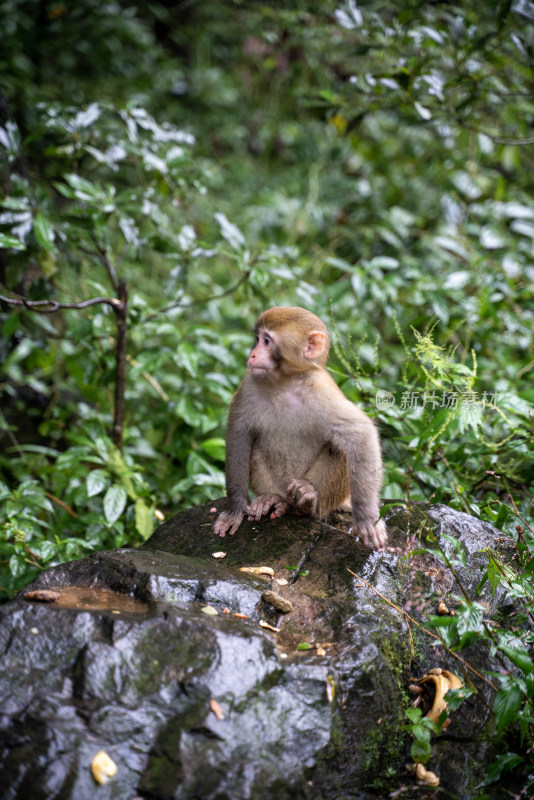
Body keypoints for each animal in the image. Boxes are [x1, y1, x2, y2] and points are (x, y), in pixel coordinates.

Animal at [215, 304, 390, 552]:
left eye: (266, 341)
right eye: (257, 339)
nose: (252, 355)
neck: (284, 382)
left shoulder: (321, 391)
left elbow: (360, 433)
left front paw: (367, 518)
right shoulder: (250, 383)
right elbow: (238, 435)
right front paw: (235, 509)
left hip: (328, 498)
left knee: (339, 448)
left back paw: (306, 501)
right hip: (278, 485)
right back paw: (273, 499)